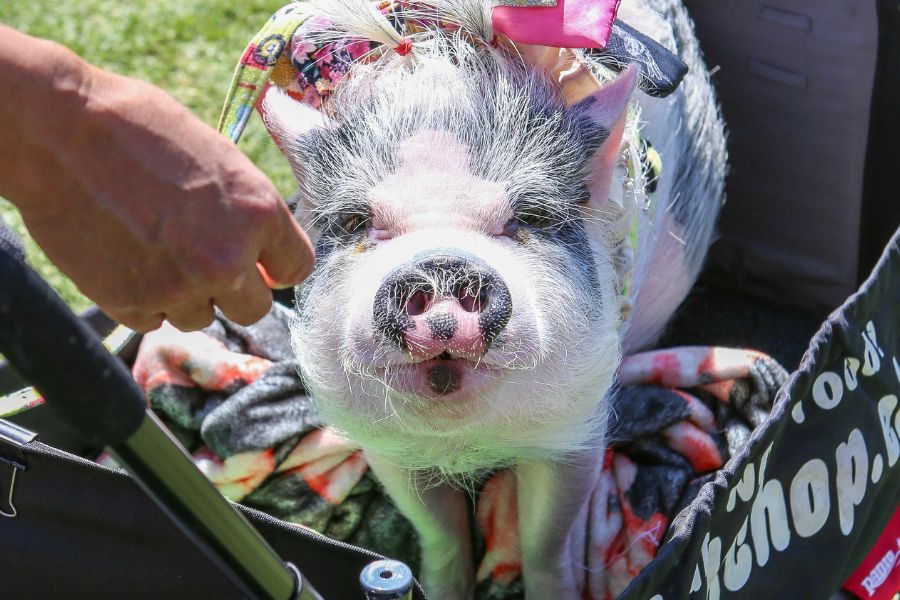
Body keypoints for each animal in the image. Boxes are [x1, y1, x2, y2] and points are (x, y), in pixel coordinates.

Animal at [266, 0, 725, 597]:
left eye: (528, 217)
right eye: (356, 223)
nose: (441, 267)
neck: (470, 439)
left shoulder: (575, 428)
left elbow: (546, 539)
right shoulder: (387, 445)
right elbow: (438, 531)